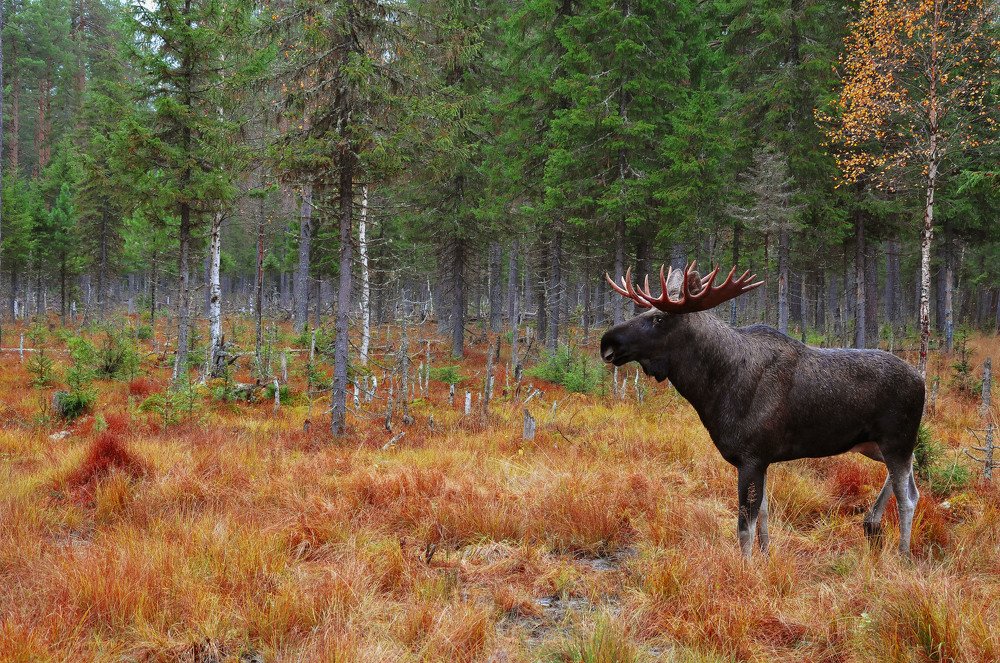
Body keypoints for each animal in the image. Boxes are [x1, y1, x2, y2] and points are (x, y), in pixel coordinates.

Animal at [596, 262, 924, 556]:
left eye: (659, 319)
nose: (606, 342)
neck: (714, 389)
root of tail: (921, 379)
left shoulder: (750, 456)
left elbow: (744, 527)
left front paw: (746, 568)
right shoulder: (762, 459)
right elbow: (764, 515)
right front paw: (766, 555)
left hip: (897, 440)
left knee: (907, 496)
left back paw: (903, 553)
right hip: (874, 444)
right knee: (910, 481)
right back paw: (872, 522)